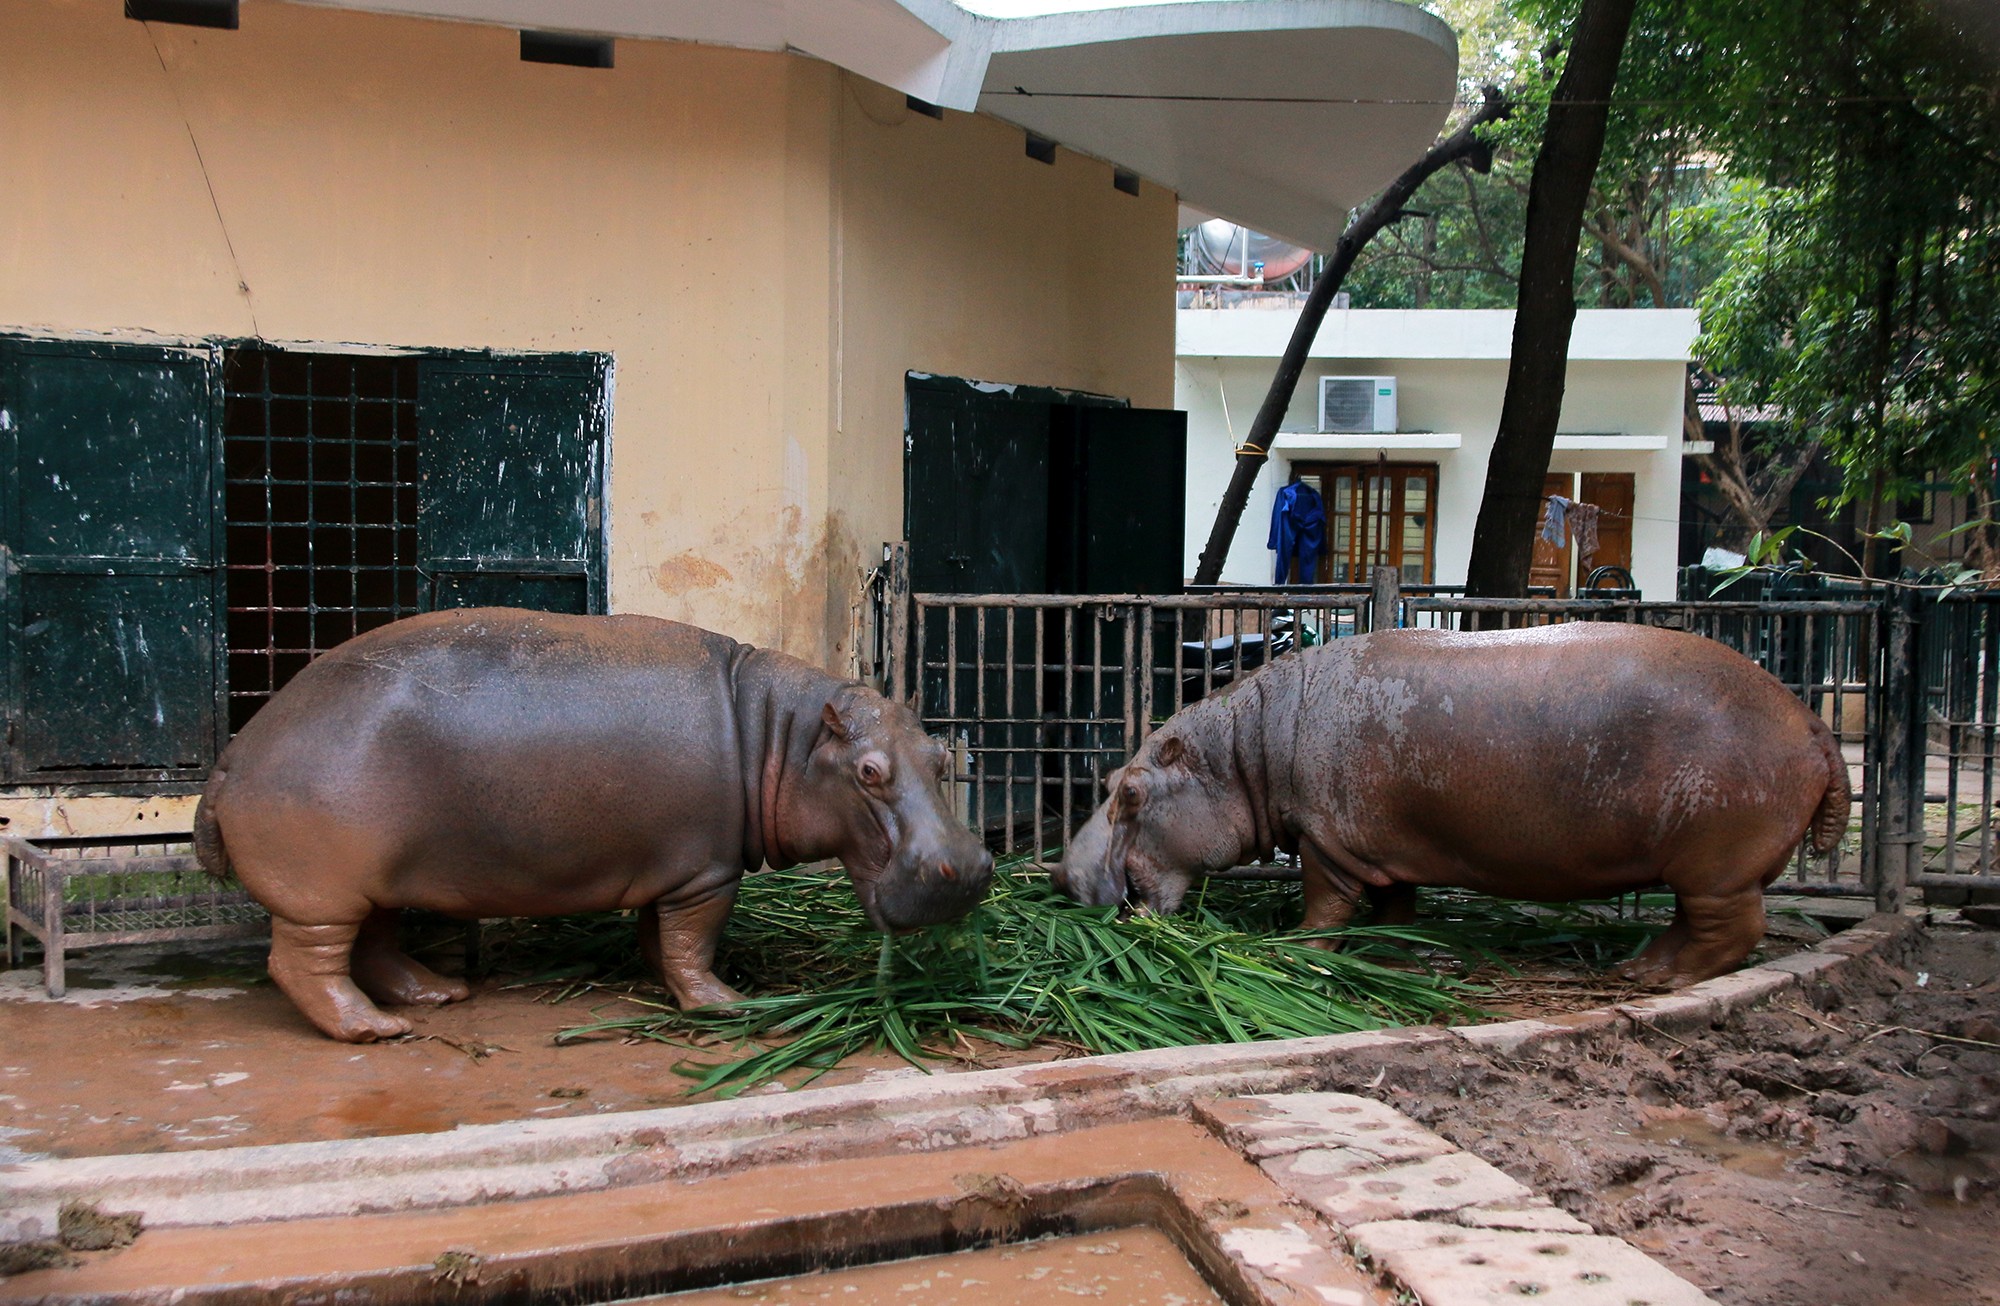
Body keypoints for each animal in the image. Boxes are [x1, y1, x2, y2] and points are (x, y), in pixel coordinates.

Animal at [195, 608, 992, 1048]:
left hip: (380, 881)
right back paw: (373, 1030)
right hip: (323, 892)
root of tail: (234, 753)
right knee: (306, 963)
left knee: (378, 947)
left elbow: (661, 941)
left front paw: (672, 984)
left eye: (937, 754)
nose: (974, 867)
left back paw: (438, 996)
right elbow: (694, 943)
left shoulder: (670, 868)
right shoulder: (707, 873)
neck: (781, 734)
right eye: (869, 772)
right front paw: (730, 1006)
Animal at [1056, 624, 1848, 988]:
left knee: (1730, 932)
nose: (1061, 877)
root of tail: (1811, 722)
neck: (1244, 750)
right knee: (1695, 924)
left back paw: (1662, 979)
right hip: (1696, 867)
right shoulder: (1380, 847)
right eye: (1106, 778)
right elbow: (1394, 906)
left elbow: (1326, 907)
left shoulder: (1327, 843)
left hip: (1718, 866)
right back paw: (1639, 967)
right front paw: (1393, 954)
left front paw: (1292, 949)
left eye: (1130, 792)